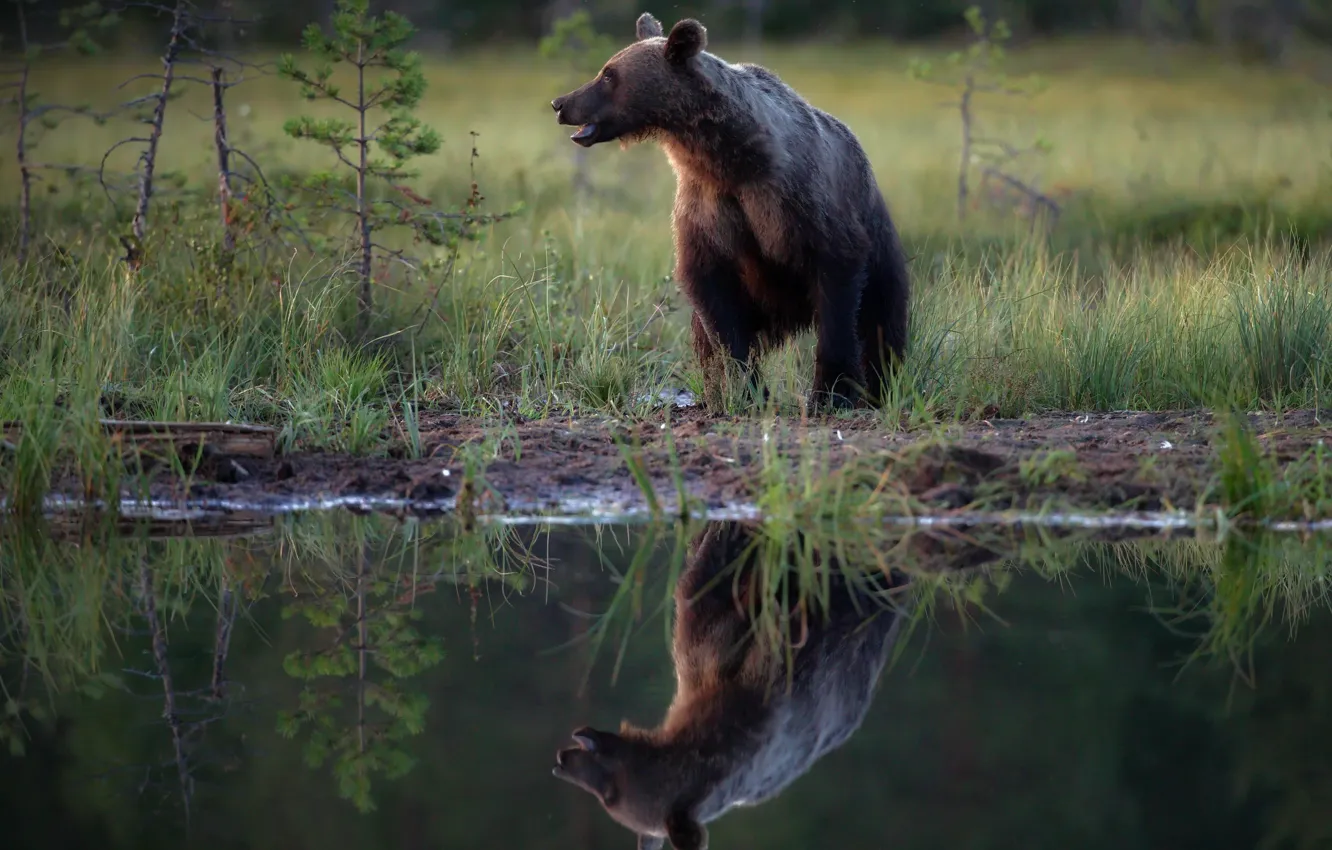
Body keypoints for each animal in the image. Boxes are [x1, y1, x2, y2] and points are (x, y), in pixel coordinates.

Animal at [550, 12, 910, 411]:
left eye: (608, 74)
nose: (561, 103)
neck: (727, 157)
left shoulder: (799, 204)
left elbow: (839, 287)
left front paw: (833, 392)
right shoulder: (706, 210)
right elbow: (716, 306)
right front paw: (744, 389)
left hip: (878, 238)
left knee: (883, 315)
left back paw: (883, 384)